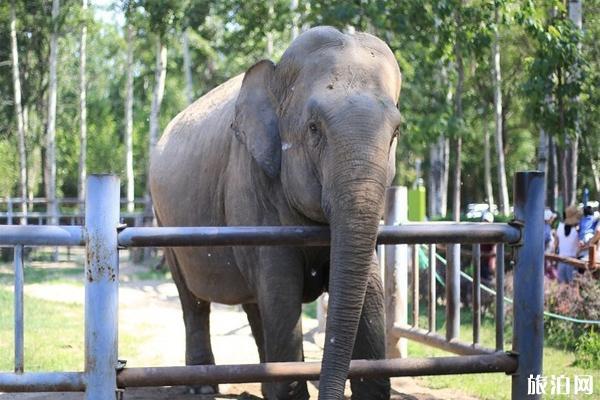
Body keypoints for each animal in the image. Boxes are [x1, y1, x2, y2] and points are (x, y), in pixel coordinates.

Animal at [150, 25, 404, 400]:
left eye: (396, 131)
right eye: (314, 128)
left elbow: (369, 289)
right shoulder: (250, 184)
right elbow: (281, 292)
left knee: (254, 303)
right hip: (164, 220)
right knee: (193, 301)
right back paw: (202, 387)